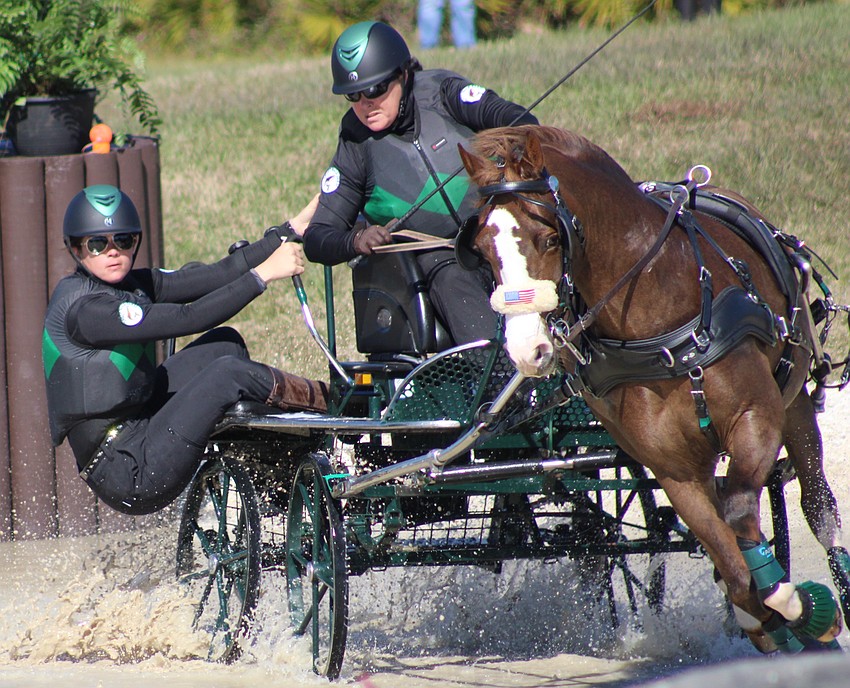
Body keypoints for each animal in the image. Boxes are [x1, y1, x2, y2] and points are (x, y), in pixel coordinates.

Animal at [456, 124, 850, 653]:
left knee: (816, 505)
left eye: (547, 237)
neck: (656, 321)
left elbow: (740, 509)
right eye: (481, 249)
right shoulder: (673, 469)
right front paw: (771, 614)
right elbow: (730, 562)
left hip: (793, 400)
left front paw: (798, 607)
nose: (525, 350)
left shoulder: (756, 416)